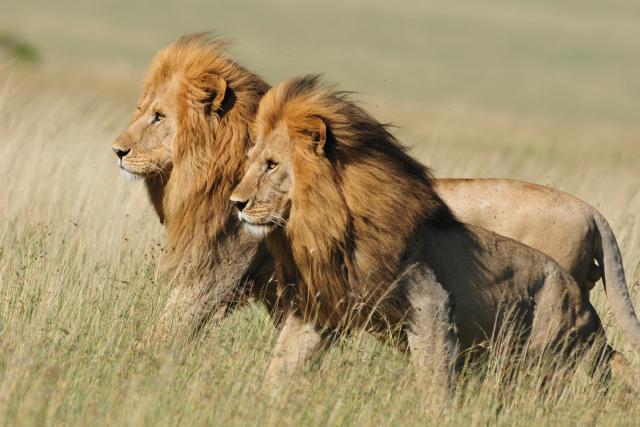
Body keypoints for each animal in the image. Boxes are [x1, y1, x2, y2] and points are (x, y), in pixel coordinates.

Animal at [230, 75, 640, 388]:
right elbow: (282, 364)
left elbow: (434, 377)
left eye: (271, 165)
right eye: (251, 162)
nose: (236, 203)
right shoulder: (319, 303)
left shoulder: (427, 300)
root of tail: (593, 212)